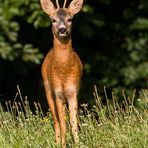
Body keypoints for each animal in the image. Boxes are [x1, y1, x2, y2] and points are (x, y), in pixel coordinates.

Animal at [40, 0, 83, 147]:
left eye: (70, 19)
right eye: (53, 20)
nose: (62, 29)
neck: (63, 73)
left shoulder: (73, 90)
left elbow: (74, 122)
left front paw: (78, 143)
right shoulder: (57, 93)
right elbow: (63, 123)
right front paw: (63, 144)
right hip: (48, 89)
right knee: (56, 121)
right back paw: (57, 142)